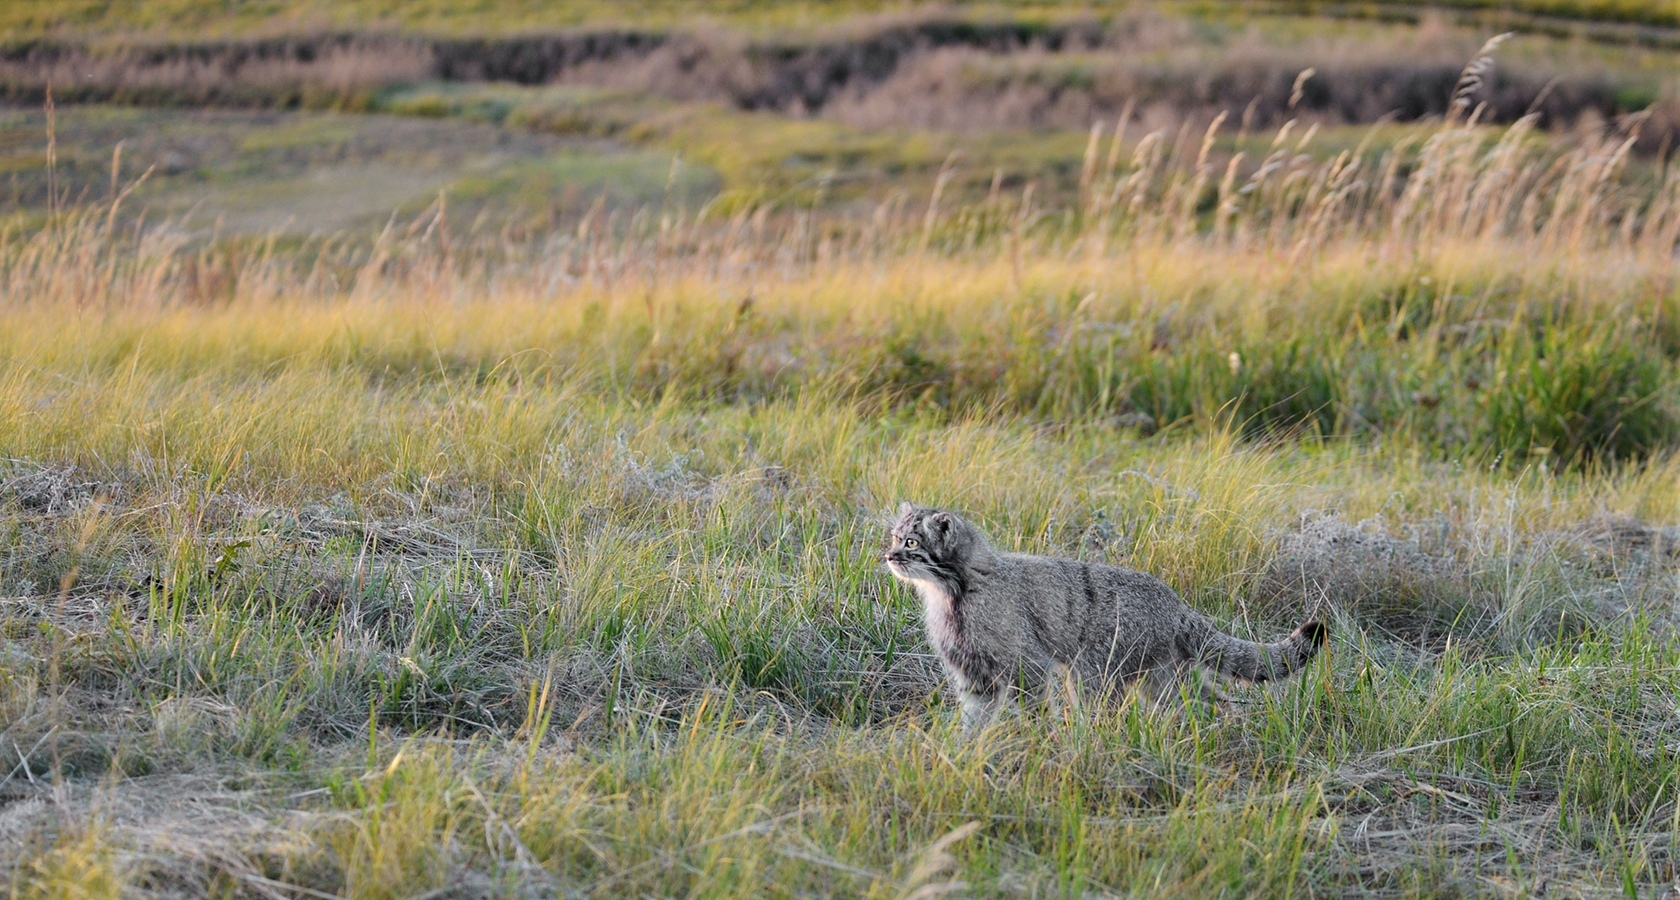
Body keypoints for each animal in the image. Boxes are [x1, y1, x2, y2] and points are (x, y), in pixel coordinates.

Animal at [887, 503, 1330, 728]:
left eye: (912, 543)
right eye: (894, 537)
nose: (888, 555)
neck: (954, 593)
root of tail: (1176, 602)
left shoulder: (1028, 666)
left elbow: (1033, 712)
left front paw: (1036, 745)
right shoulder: (972, 674)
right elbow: (974, 722)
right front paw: (967, 755)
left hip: (1092, 673)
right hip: (1163, 678)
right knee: (1208, 699)